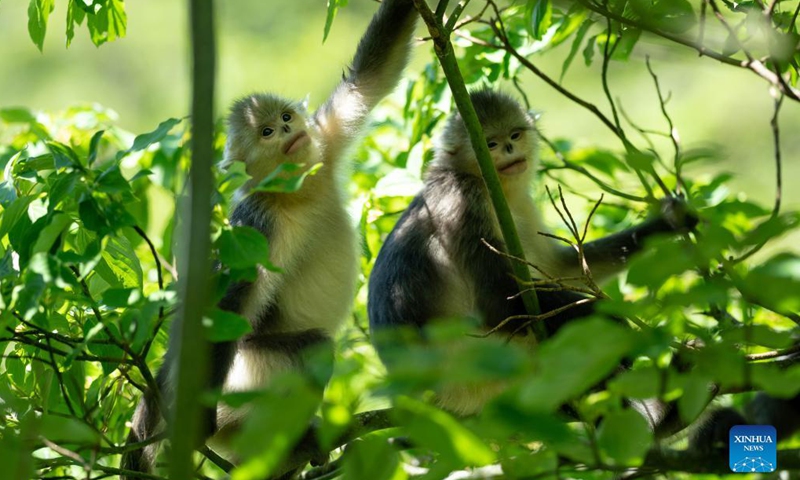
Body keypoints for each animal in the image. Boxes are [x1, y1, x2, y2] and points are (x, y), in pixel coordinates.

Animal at [122, 1, 418, 476]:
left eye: (285, 118)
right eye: (265, 133)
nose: (286, 132)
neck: (296, 194)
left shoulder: (324, 140)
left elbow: (373, 72)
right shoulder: (258, 223)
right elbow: (226, 305)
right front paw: (196, 424)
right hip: (249, 378)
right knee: (313, 345)